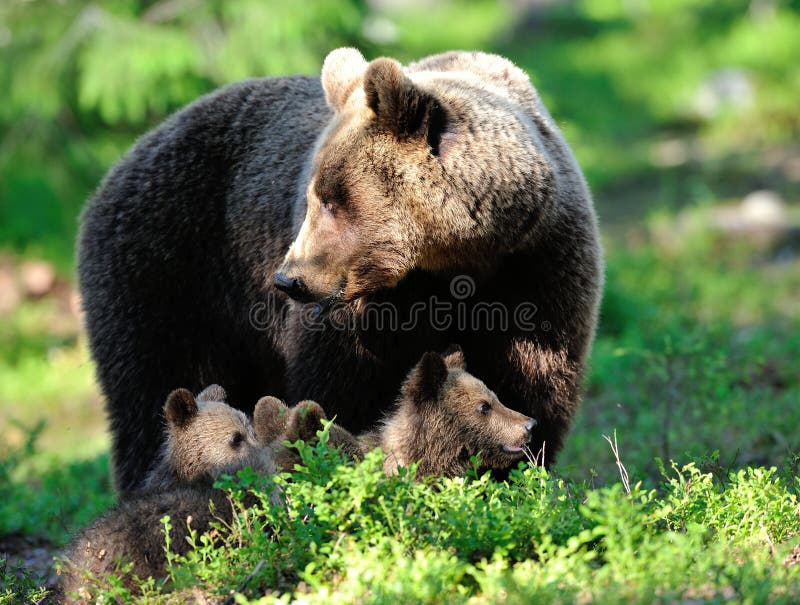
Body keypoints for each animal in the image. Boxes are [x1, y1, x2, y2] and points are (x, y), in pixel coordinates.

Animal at [78, 48, 604, 490]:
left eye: (333, 200)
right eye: (311, 195)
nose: (288, 278)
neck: (457, 260)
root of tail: (121, 162)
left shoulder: (537, 267)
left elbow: (532, 377)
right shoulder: (361, 313)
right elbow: (339, 390)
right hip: (168, 268)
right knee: (153, 385)